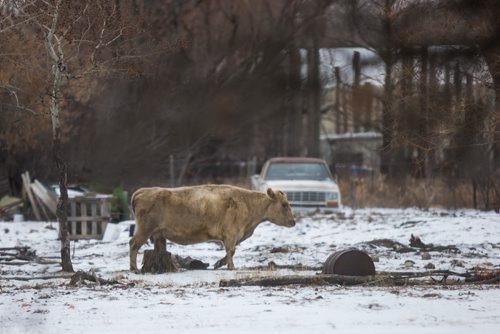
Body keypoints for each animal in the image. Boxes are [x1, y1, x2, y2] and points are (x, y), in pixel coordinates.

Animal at [128, 184, 296, 272]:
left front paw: (218, 264)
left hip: (157, 234)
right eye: (284, 204)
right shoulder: (231, 235)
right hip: (144, 230)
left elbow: (230, 252)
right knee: (133, 245)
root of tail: (142, 191)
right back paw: (134, 268)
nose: (293, 222)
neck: (246, 203)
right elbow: (231, 251)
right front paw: (230, 267)